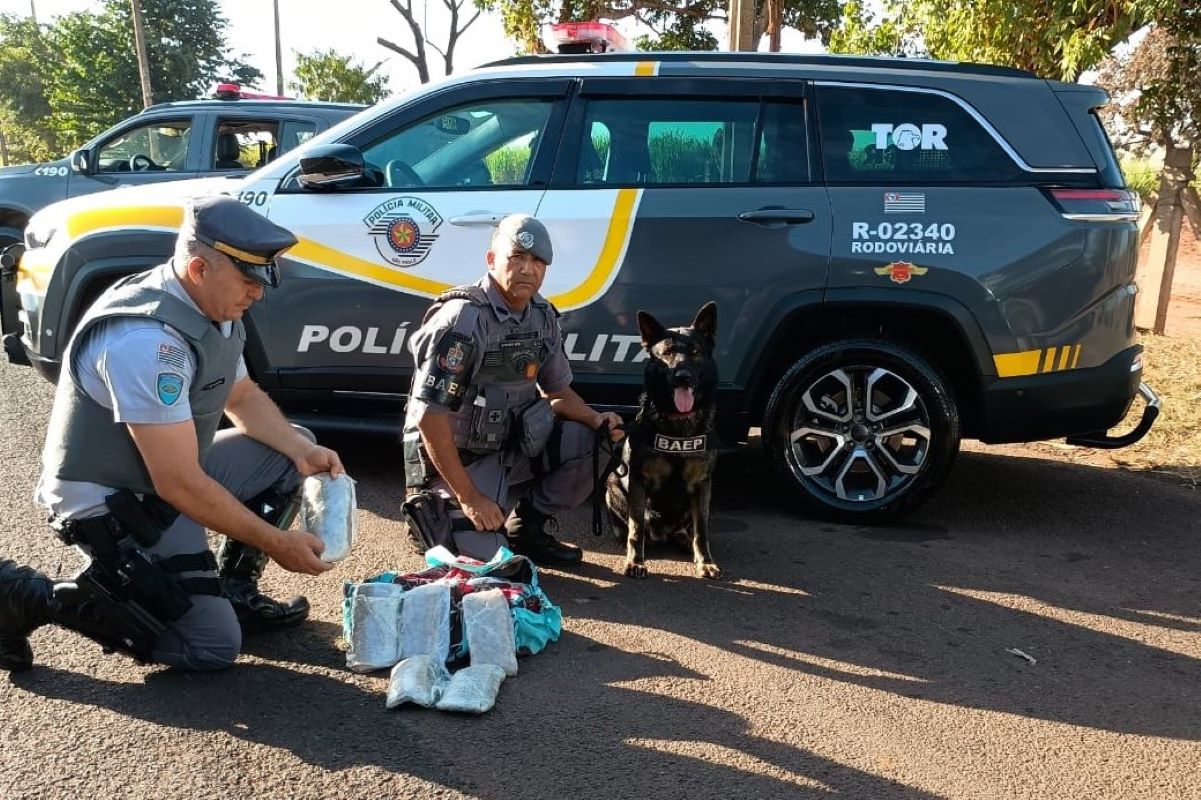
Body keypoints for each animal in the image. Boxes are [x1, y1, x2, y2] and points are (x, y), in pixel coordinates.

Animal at [605, 302, 715, 576]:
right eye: (666, 353)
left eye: (695, 352)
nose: (682, 376)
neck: (678, 422)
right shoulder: (638, 481)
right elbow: (635, 529)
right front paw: (635, 561)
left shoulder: (703, 484)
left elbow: (702, 530)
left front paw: (706, 562)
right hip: (614, 481)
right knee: (632, 528)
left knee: (687, 528)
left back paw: (684, 539)